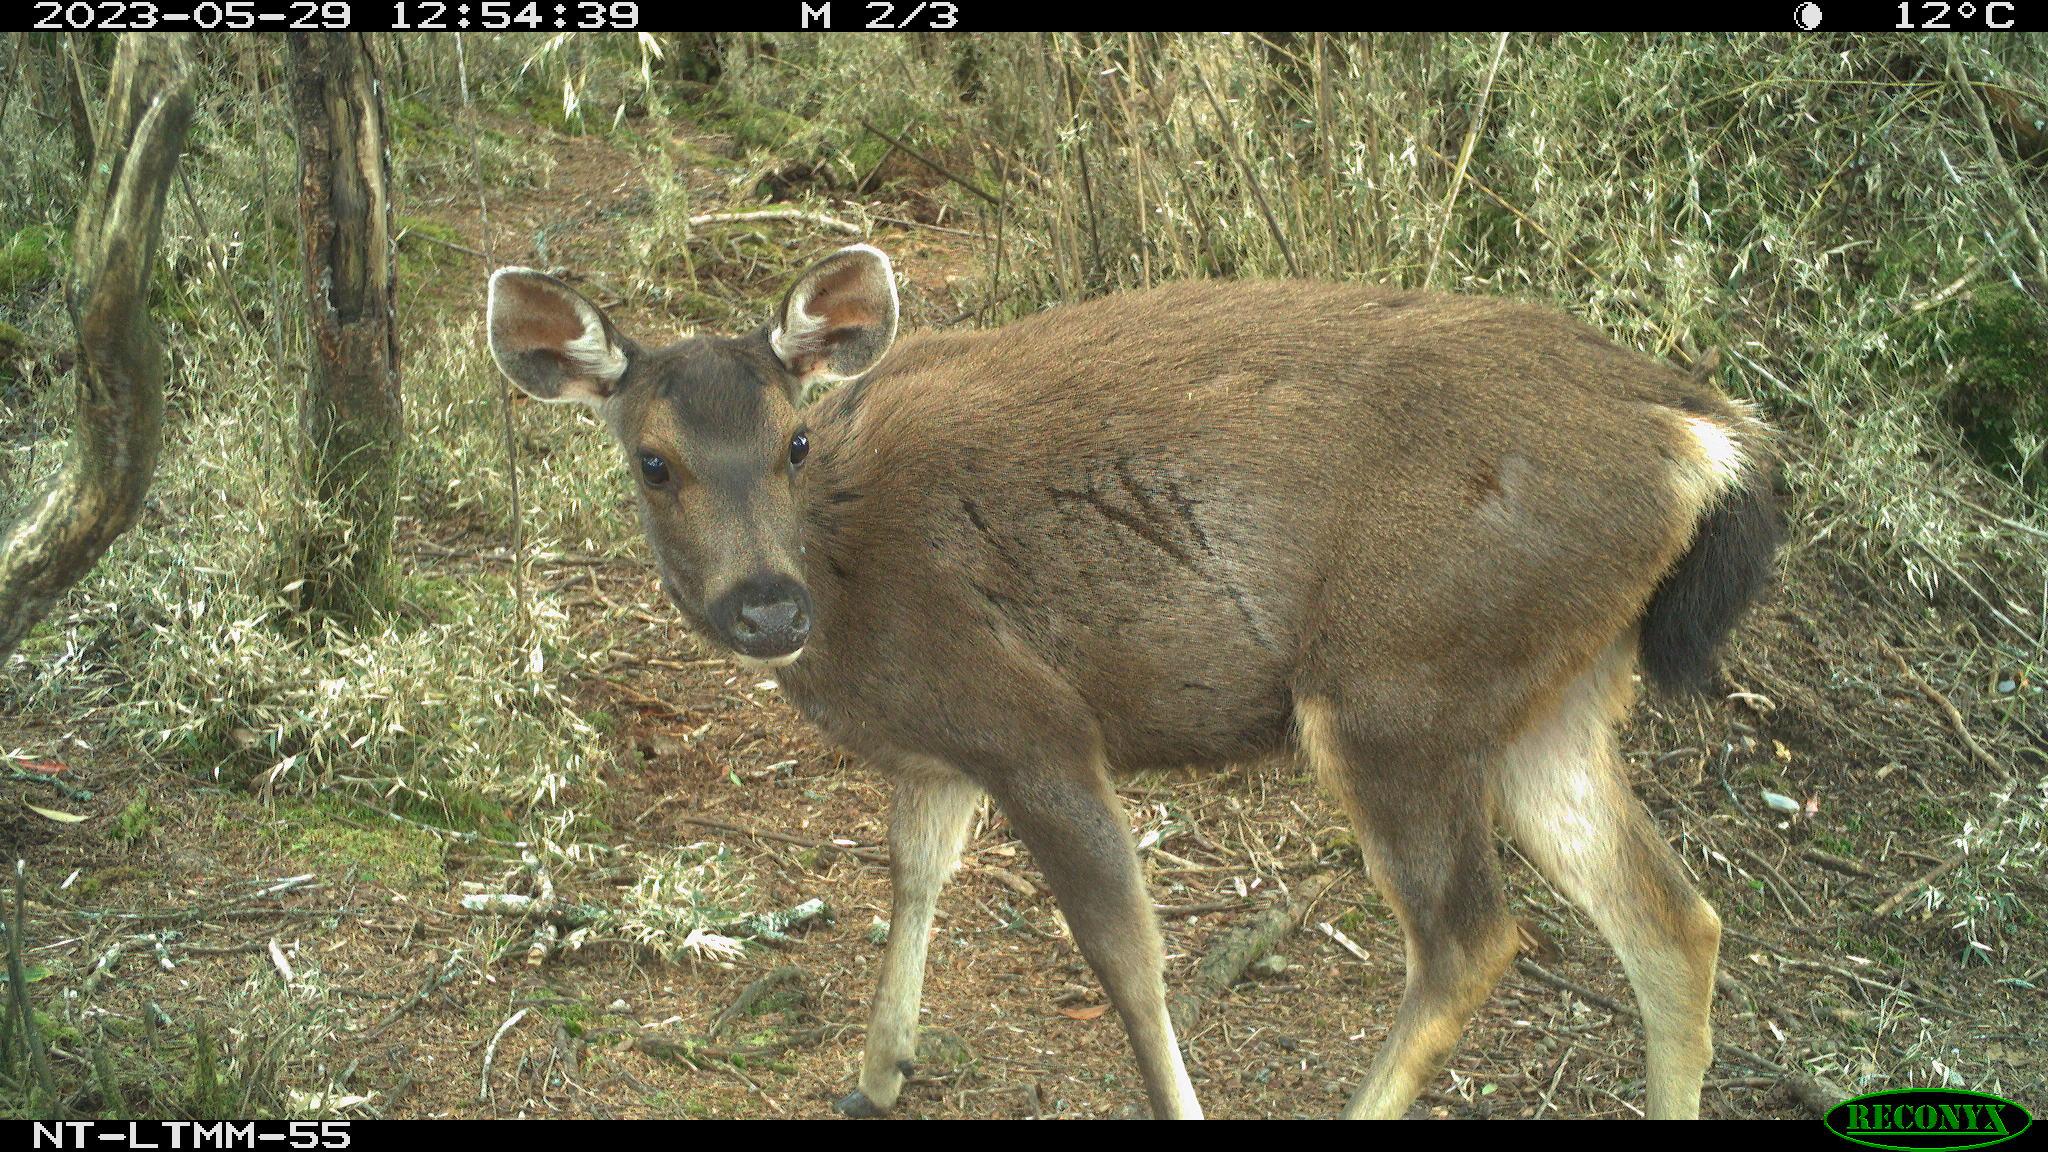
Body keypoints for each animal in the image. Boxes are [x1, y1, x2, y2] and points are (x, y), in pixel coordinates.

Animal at [485, 244, 1780, 1120]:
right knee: (1674, 920)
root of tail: (1701, 440)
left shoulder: (1032, 721)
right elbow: (913, 874)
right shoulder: (944, 748)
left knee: (1471, 936)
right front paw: (876, 1073)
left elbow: (1124, 958)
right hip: (1548, 690)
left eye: (791, 440)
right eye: (653, 462)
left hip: (1396, 681)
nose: (766, 607)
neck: (854, 588)